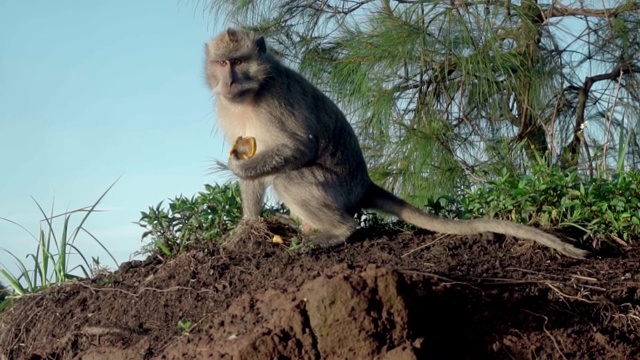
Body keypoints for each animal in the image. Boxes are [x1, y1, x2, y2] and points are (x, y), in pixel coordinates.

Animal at [205, 28, 592, 258]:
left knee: (290, 178)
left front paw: (238, 166)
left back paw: (336, 231)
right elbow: (254, 171)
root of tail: (363, 183)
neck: (250, 94)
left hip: (338, 188)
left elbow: (301, 146)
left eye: (238, 61)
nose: (228, 80)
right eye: (222, 62)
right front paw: (247, 226)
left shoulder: (275, 100)